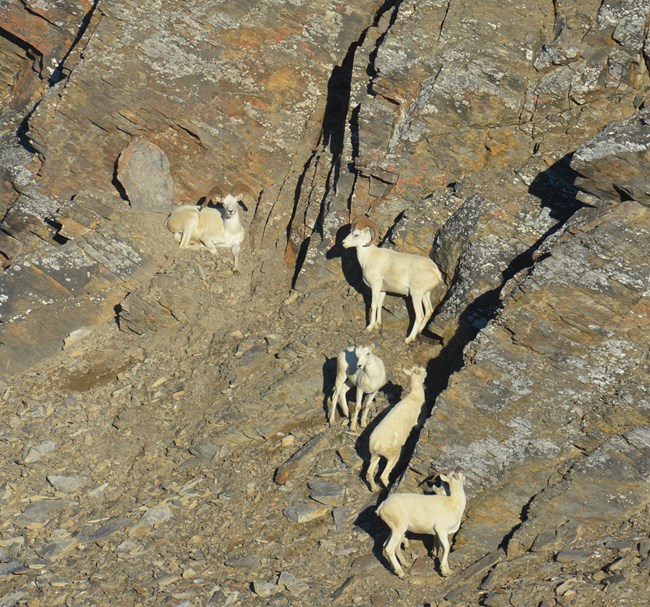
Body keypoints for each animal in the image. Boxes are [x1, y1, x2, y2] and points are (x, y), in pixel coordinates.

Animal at [340, 216, 440, 344]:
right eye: (350, 232)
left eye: (356, 234)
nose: (343, 243)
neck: (368, 256)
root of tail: (436, 272)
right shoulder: (383, 291)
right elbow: (379, 305)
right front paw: (377, 325)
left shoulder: (375, 288)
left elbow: (373, 305)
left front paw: (369, 328)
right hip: (425, 295)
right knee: (429, 311)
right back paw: (418, 333)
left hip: (416, 295)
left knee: (419, 315)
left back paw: (408, 339)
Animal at [364, 366, 426, 494]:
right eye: (422, 371)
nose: (426, 370)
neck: (415, 396)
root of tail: (375, 444)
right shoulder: (419, 422)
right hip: (393, 456)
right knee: (383, 475)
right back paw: (387, 487)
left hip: (375, 455)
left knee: (370, 472)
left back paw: (374, 488)